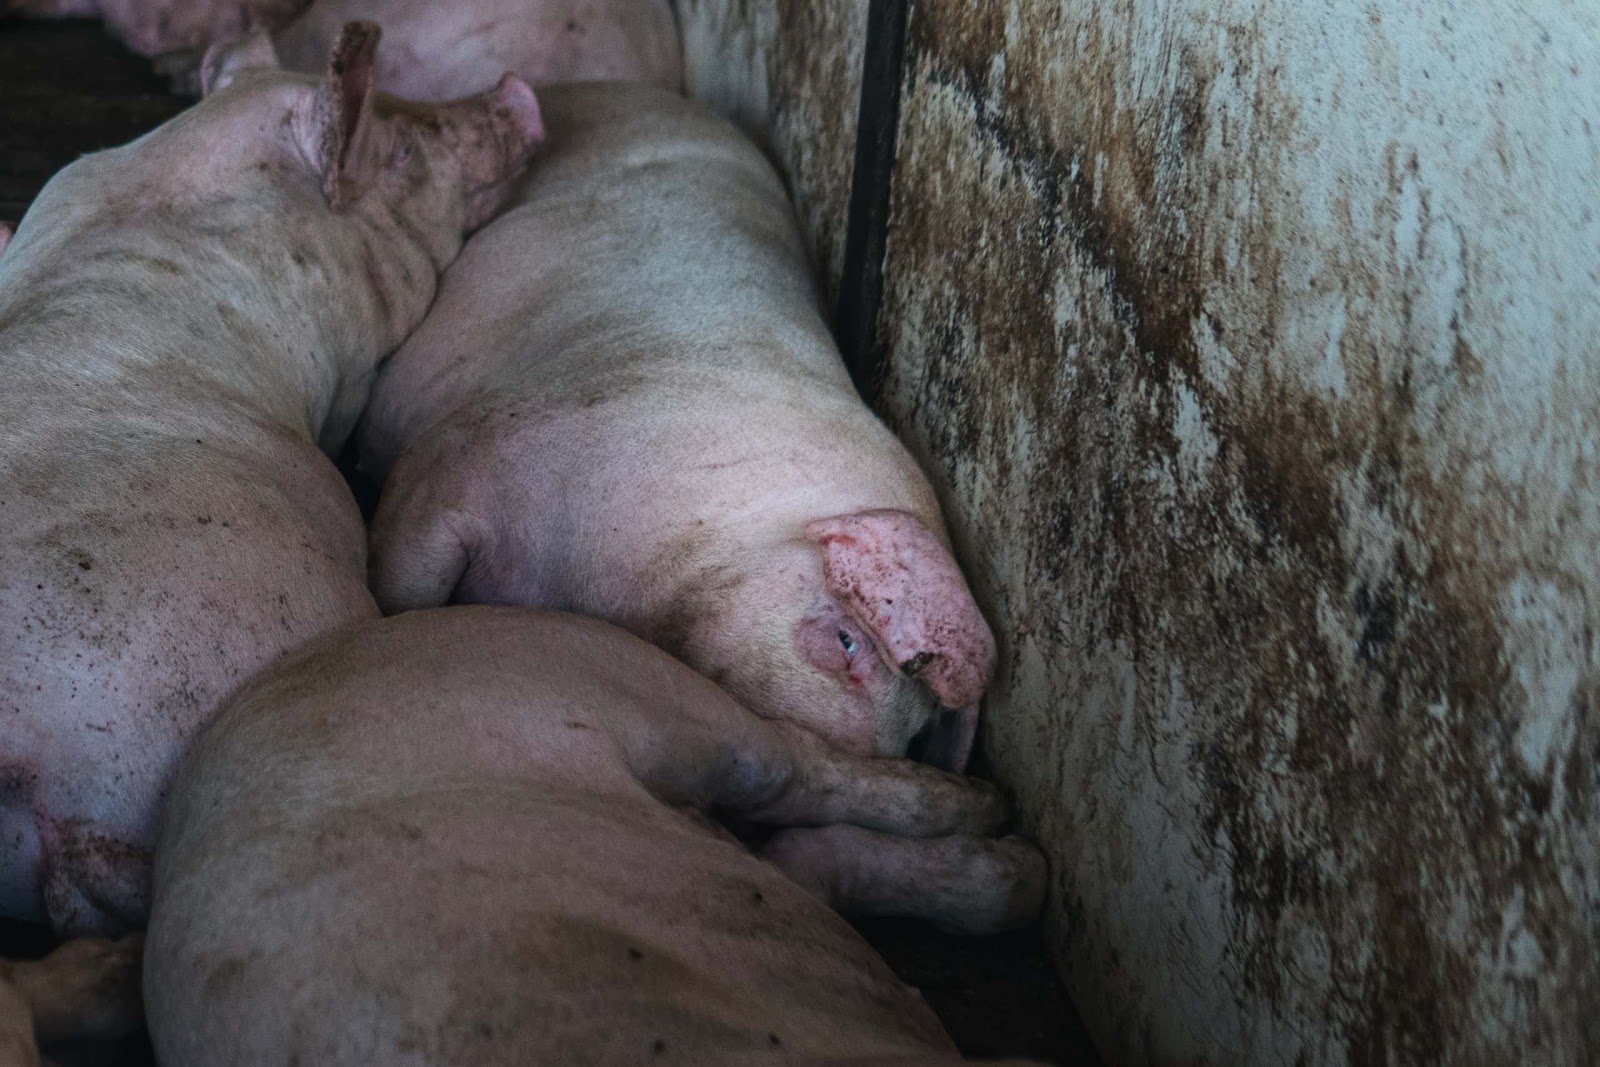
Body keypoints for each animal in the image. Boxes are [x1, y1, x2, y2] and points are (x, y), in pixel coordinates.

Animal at [145, 606, 1046, 1065]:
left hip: (630, 685)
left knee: (799, 787)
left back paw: (1003, 834)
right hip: (621, 687)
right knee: (801, 812)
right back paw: (1014, 857)